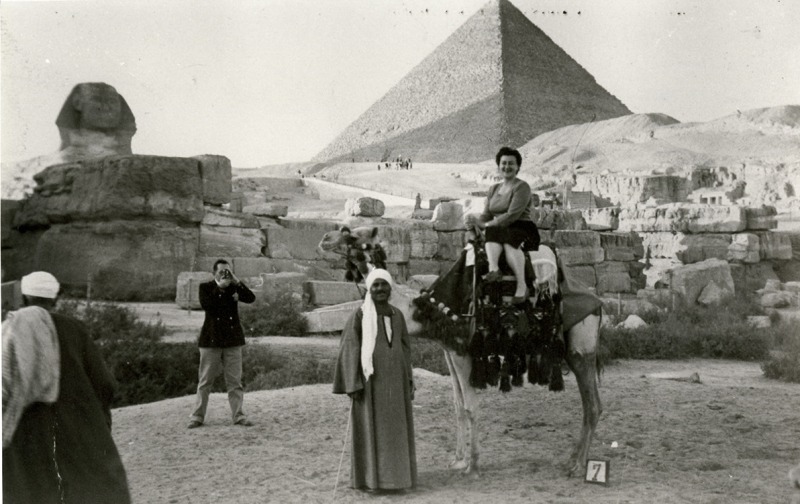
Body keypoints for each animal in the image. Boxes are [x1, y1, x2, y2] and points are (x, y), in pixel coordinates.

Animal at [318, 226, 600, 478]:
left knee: (593, 406)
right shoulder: (449, 351)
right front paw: (457, 460)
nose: (324, 238)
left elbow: (471, 407)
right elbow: (457, 405)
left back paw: (578, 466)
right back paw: (572, 460)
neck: (425, 310)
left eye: (352, 235)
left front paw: (472, 467)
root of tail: (598, 303)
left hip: (581, 347)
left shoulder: (463, 352)